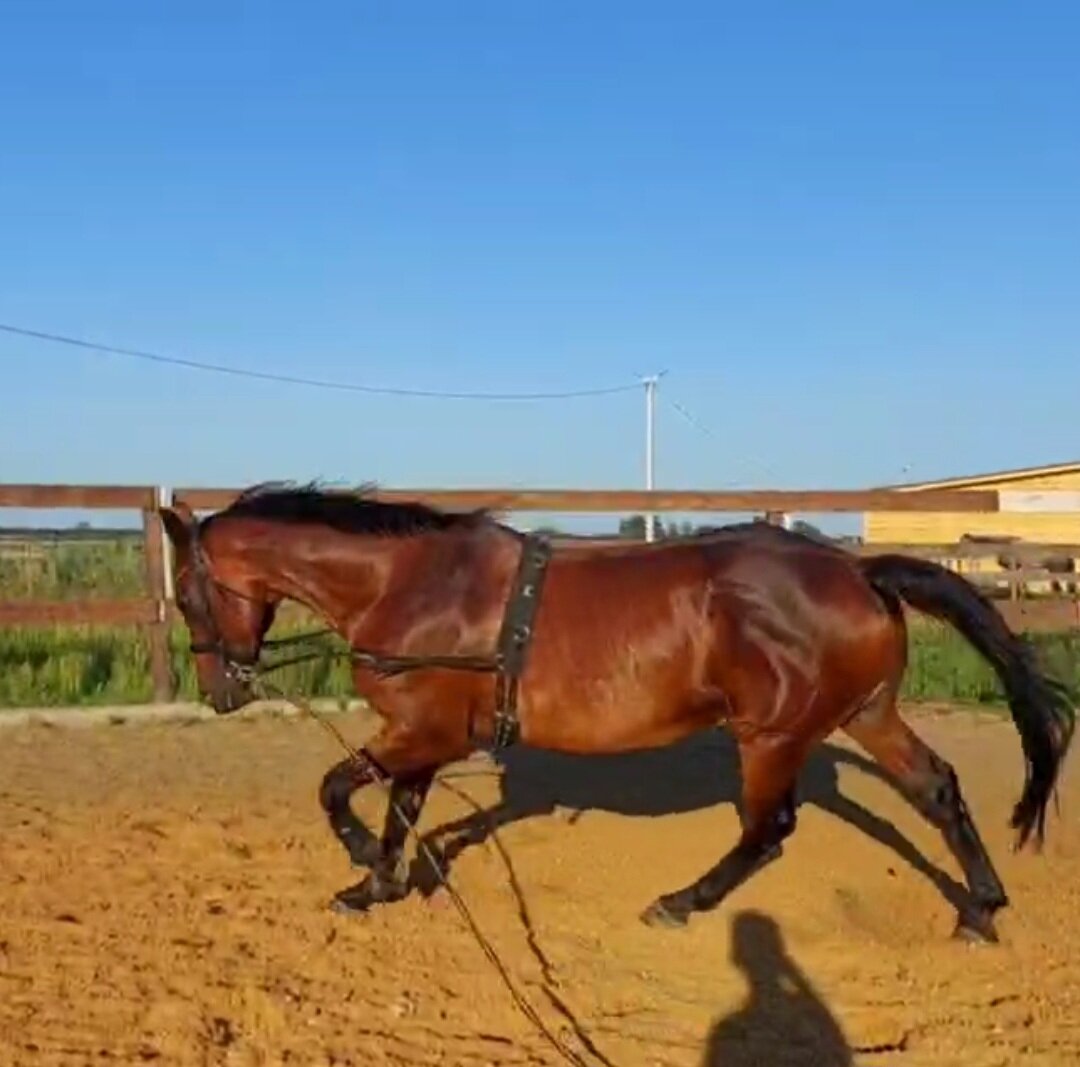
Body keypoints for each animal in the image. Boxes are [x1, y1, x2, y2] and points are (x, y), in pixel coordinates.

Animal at [156, 483, 1075, 941]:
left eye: (190, 594)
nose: (221, 689)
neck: (410, 584)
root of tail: (858, 570)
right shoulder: (423, 735)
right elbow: (400, 808)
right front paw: (375, 882)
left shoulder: (424, 731)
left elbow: (338, 789)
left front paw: (358, 863)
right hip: (867, 713)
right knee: (936, 788)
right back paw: (981, 908)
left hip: (771, 732)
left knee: (769, 826)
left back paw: (680, 900)